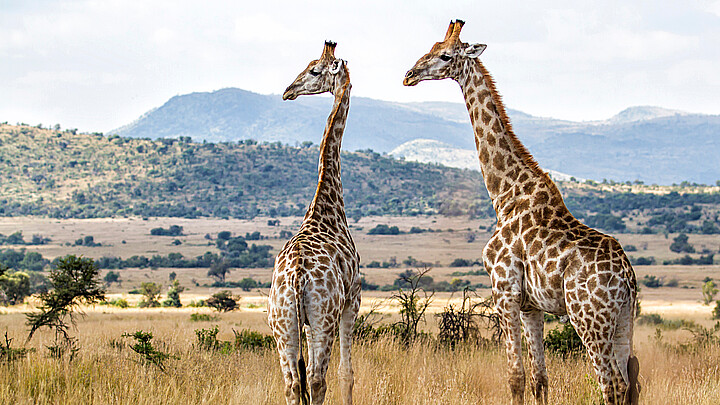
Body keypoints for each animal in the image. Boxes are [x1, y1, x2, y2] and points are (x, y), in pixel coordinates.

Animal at [268, 40, 360, 404]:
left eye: (314, 70)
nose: (288, 91)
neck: (327, 204)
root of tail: (295, 279)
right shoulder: (352, 300)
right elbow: (346, 373)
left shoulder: (306, 322)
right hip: (324, 319)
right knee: (319, 380)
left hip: (282, 323)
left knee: (293, 383)